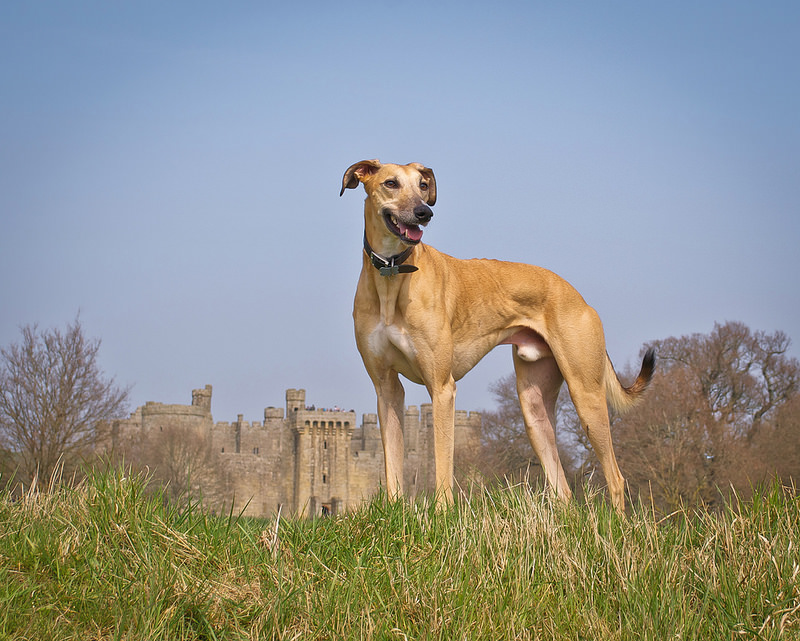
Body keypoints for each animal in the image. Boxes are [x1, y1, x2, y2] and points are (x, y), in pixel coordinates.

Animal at [340, 159, 652, 510]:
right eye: (391, 183)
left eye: (422, 185)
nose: (424, 213)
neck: (392, 273)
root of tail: (580, 297)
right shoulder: (387, 389)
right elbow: (393, 466)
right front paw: (396, 510)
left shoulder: (442, 388)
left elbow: (443, 465)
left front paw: (443, 514)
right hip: (533, 409)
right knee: (563, 489)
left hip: (586, 394)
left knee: (616, 478)